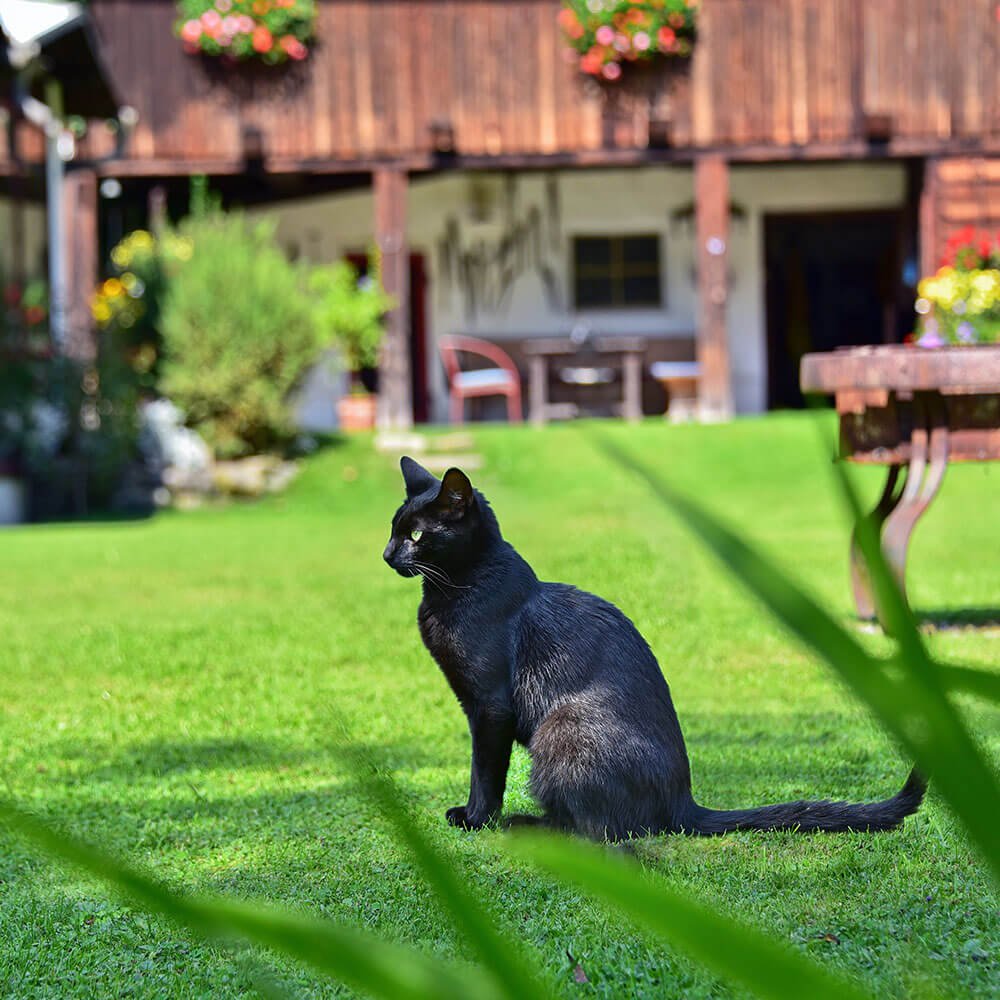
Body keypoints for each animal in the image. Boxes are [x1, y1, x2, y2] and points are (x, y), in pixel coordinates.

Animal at [380, 458, 920, 840]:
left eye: (417, 535)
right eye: (392, 529)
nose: (386, 554)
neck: (458, 586)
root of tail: (683, 801)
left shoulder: (489, 706)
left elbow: (485, 772)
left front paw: (476, 819)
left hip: (560, 731)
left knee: (598, 830)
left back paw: (524, 825)